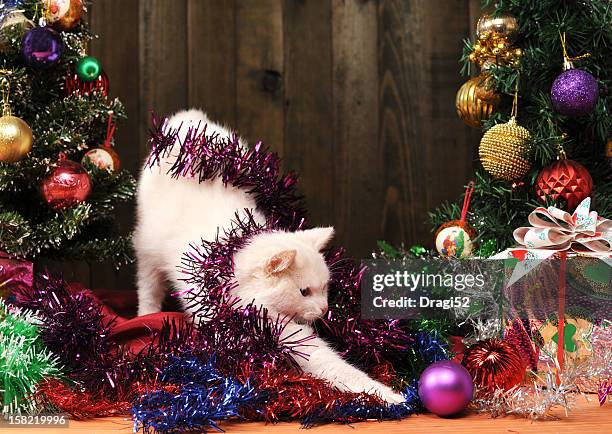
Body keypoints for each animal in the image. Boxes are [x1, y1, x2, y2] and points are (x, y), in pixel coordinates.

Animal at [133, 107, 402, 404]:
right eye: (304, 292)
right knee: (148, 285)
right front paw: (385, 394)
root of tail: (188, 119)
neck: (229, 254)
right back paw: (146, 314)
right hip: (146, 245)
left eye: (325, 289)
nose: (324, 309)